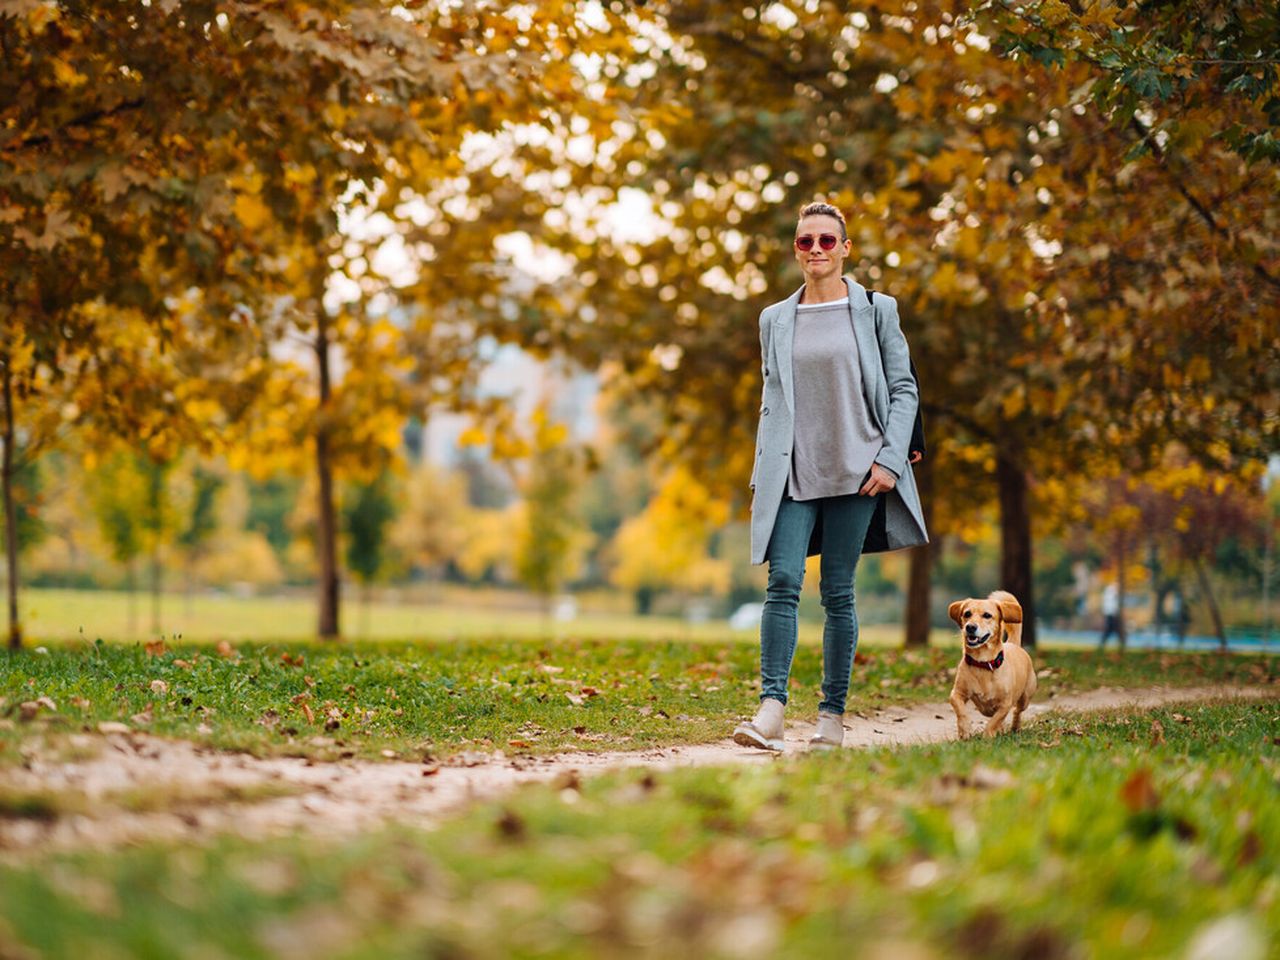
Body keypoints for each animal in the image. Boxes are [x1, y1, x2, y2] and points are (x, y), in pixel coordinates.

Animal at [947, 591, 1034, 742]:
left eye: (987, 615)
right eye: (967, 614)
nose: (970, 627)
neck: (982, 662)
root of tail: (1013, 644)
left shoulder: (1005, 704)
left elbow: (994, 721)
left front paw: (988, 736)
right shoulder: (956, 694)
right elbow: (961, 711)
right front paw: (965, 731)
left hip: (1026, 697)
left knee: (1017, 711)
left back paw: (1015, 727)